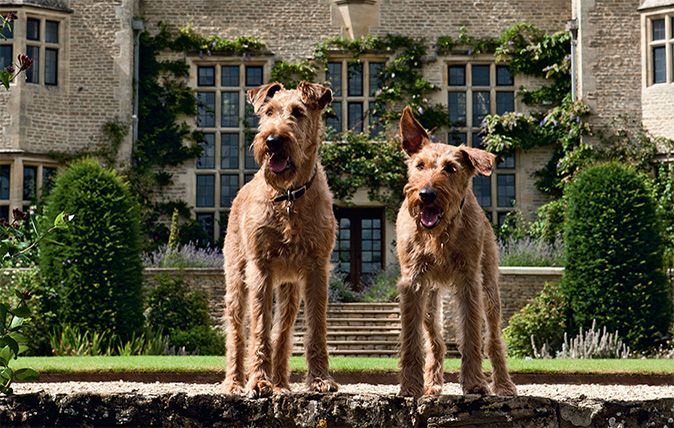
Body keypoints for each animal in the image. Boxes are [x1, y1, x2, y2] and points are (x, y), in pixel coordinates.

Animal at [223, 81, 338, 398]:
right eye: (268, 112)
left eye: (298, 112)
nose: (273, 140)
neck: (288, 196)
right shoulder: (260, 267)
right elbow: (259, 328)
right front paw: (258, 381)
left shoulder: (316, 268)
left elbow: (315, 327)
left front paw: (320, 379)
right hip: (237, 280)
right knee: (237, 332)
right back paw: (234, 382)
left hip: (289, 289)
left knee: (282, 333)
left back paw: (281, 384)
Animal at [394, 106, 516, 398]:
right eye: (420, 165)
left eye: (450, 168)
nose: (426, 194)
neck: (440, 236)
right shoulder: (413, 282)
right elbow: (411, 339)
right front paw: (410, 386)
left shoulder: (469, 281)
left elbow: (471, 334)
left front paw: (474, 383)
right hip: (430, 300)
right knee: (436, 342)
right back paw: (432, 384)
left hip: (490, 289)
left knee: (493, 338)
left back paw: (503, 384)